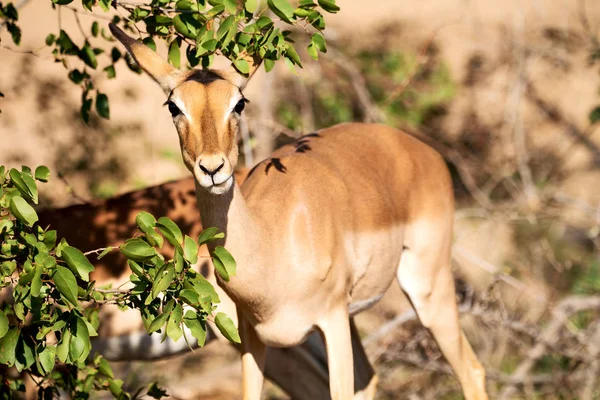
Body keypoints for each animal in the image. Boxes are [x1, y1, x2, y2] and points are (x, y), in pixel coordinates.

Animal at [111, 22, 488, 400]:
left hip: (426, 288)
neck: (272, 243)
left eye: (239, 102)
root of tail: (425, 152)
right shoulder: (250, 336)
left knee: (471, 370)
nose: (212, 168)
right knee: (370, 380)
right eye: (174, 106)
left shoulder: (332, 320)